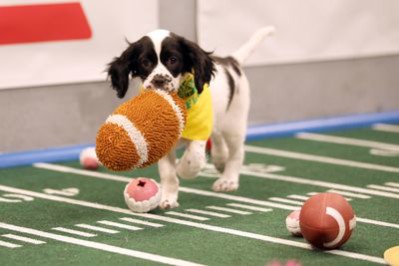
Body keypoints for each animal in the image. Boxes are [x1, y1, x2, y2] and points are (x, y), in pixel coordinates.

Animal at [106, 27, 276, 210]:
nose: (159, 80)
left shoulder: (199, 133)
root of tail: (231, 62)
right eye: (145, 62)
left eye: (173, 60)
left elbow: (193, 159)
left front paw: (182, 168)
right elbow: (168, 174)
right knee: (218, 139)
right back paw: (220, 160)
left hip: (234, 123)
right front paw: (168, 198)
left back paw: (228, 180)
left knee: (237, 152)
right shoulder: (163, 141)